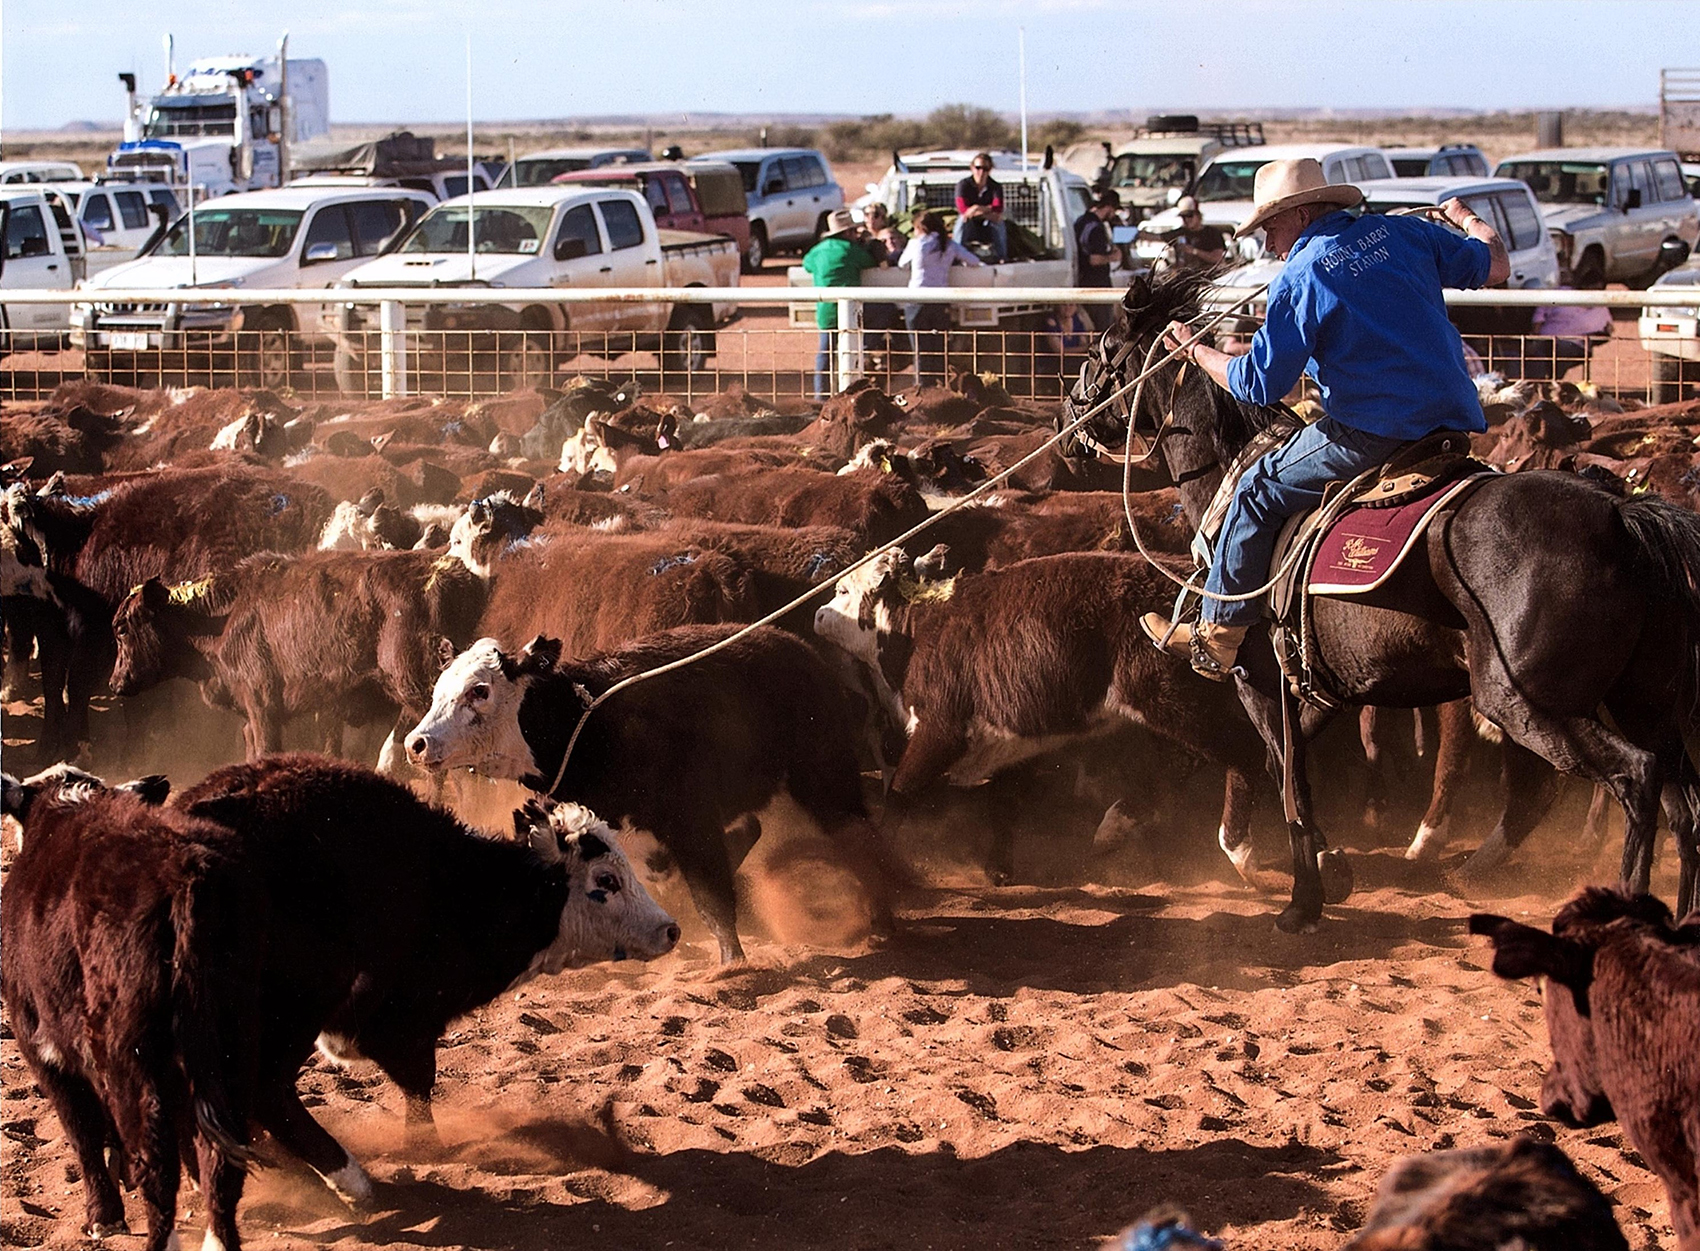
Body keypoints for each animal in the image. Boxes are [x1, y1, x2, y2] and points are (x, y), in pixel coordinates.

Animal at [108, 550, 486, 761]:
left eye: (122, 628)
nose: (115, 683)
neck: (224, 616)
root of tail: (450, 572)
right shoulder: (256, 717)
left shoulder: (263, 708)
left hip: (418, 692)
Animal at [404, 622, 897, 958]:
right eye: (438, 690)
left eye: (479, 690)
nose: (416, 743)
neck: (590, 726)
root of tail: (801, 651)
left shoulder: (691, 823)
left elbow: (712, 897)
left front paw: (733, 963)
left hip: (823, 776)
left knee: (859, 836)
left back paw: (884, 917)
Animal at [816, 550, 1271, 883]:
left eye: (842, 590)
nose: (818, 614)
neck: (920, 627)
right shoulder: (1007, 741)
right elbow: (1004, 802)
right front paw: (999, 868)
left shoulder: (941, 729)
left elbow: (901, 793)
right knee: (1181, 762)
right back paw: (1113, 828)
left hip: (1168, 696)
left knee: (1246, 751)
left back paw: (1240, 851)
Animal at [1060, 271, 1700, 931]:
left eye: (1102, 350)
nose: (1070, 413)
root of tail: (1620, 515)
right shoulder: (1323, 688)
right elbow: (1288, 770)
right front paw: (1326, 867)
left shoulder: (1258, 682)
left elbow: (1284, 776)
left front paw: (1301, 896)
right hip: (1644, 699)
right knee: (1682, 800)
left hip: (1526, 700)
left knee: (1629, 777)